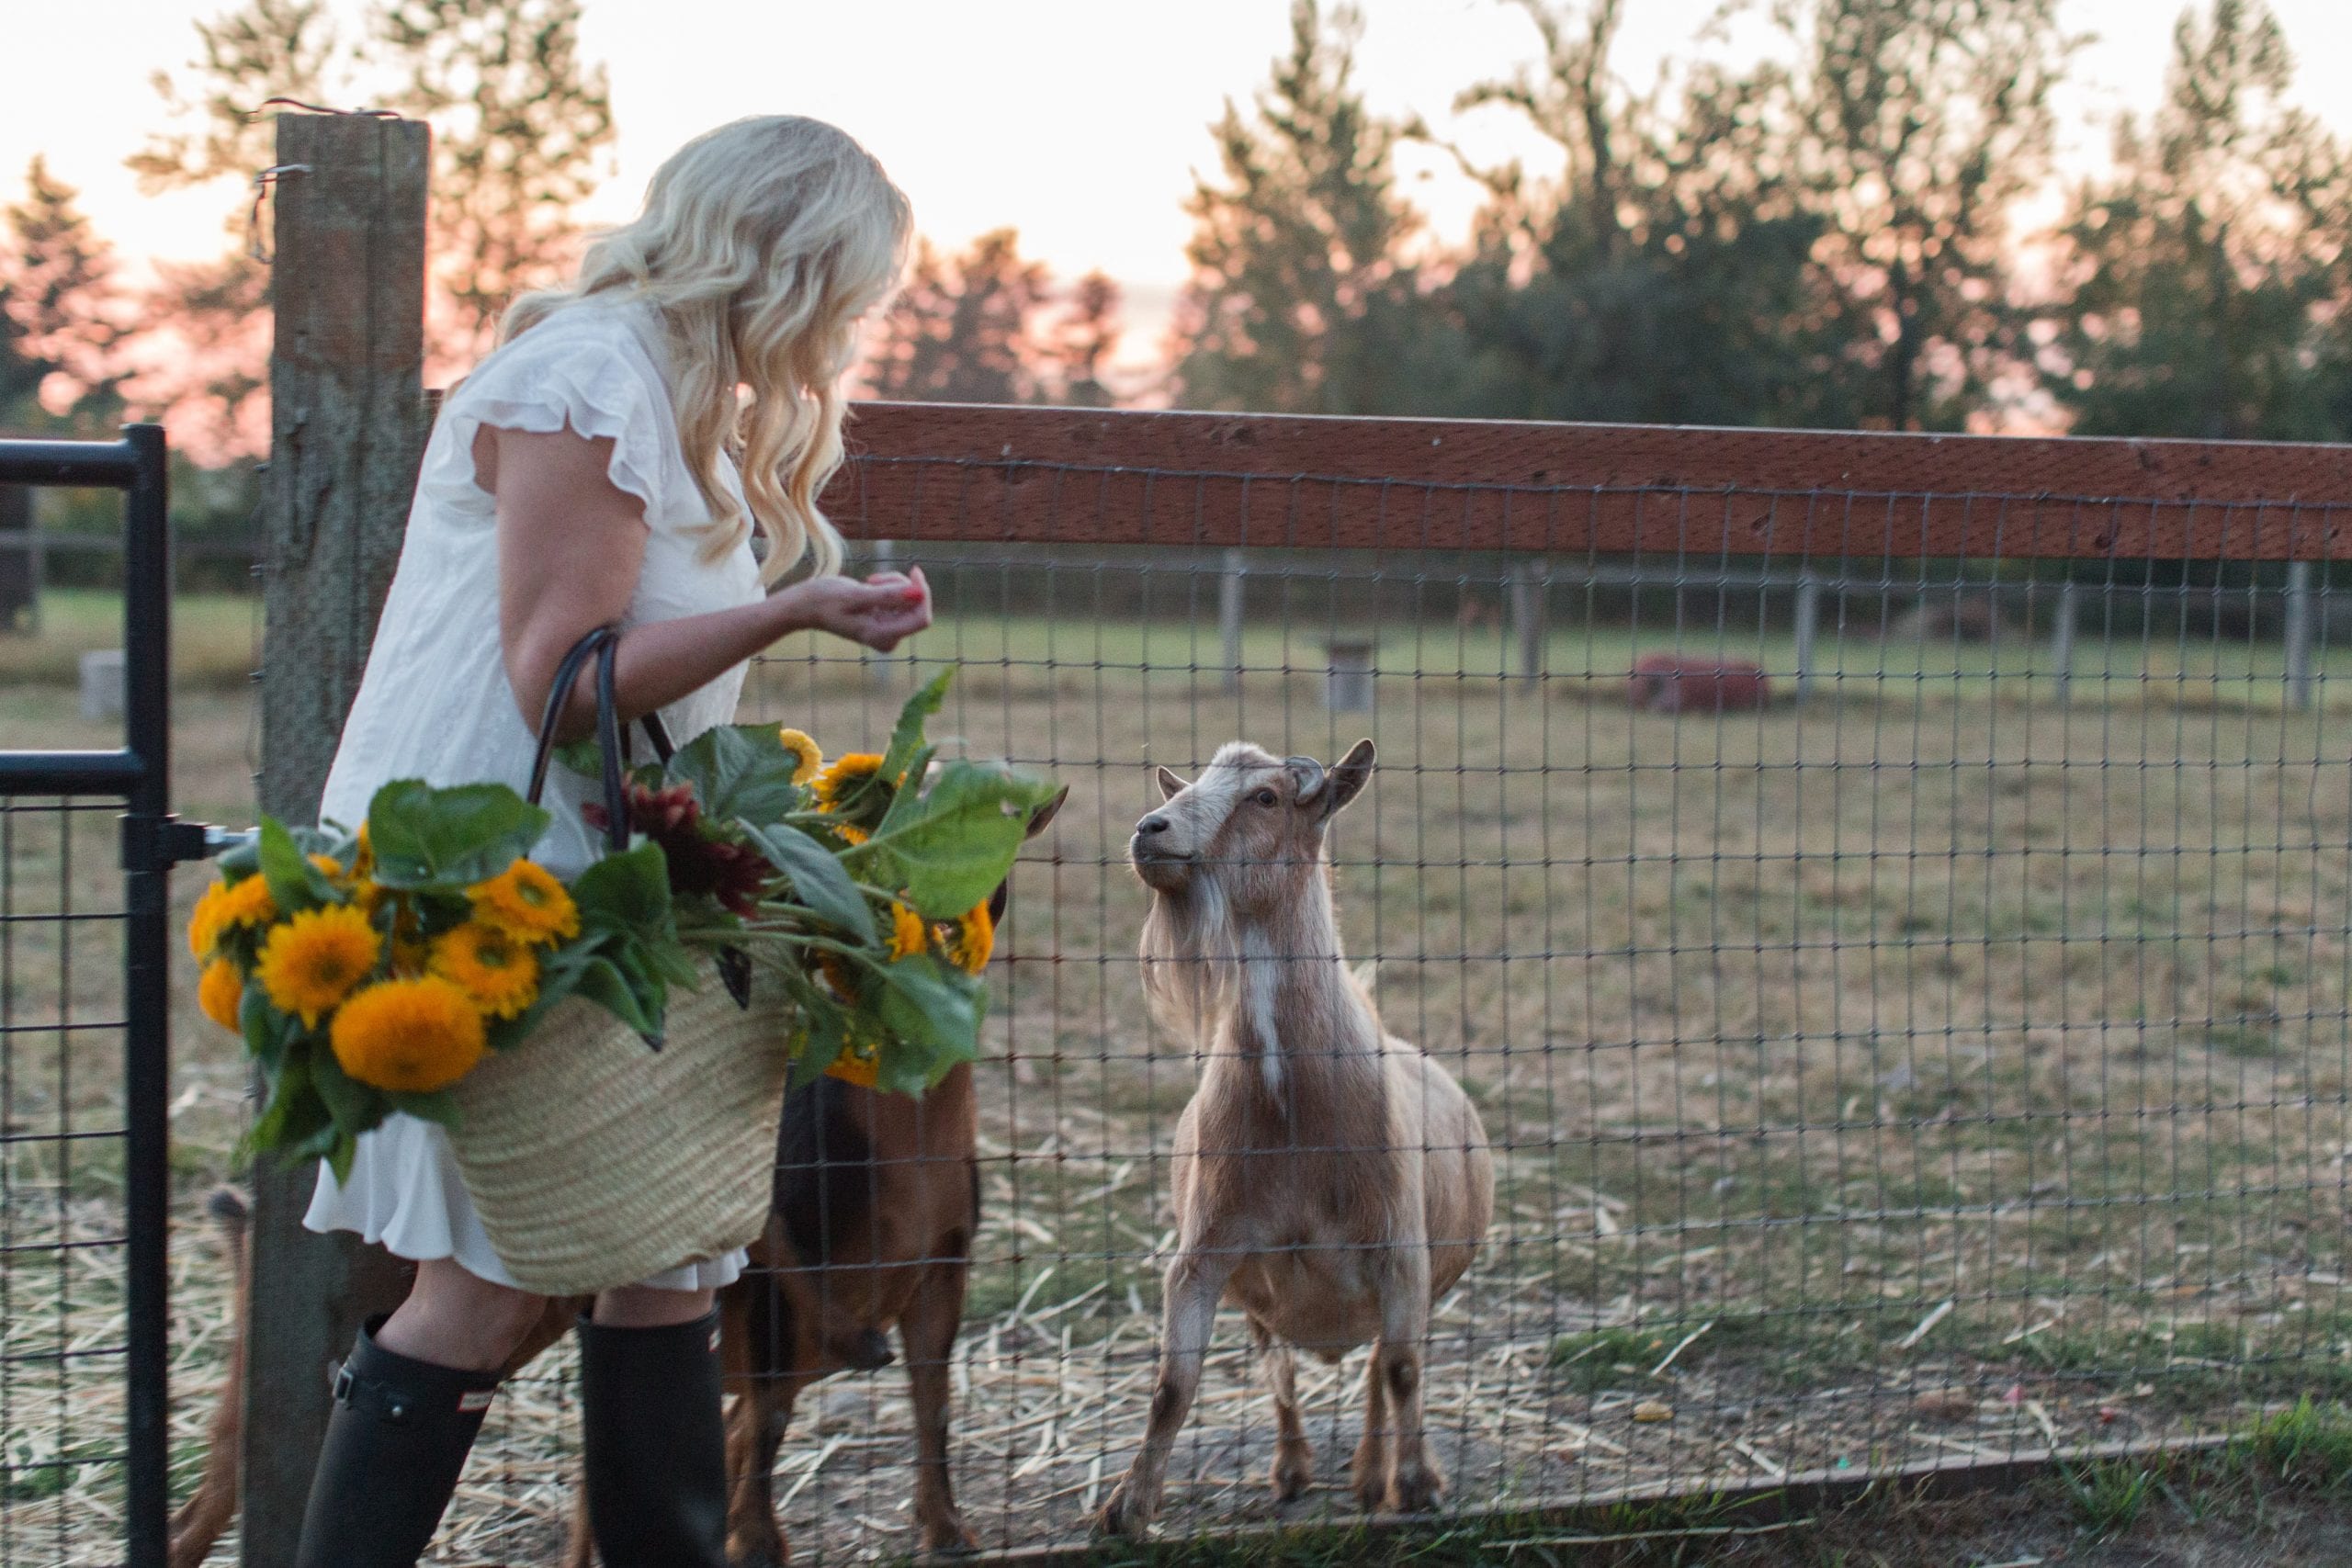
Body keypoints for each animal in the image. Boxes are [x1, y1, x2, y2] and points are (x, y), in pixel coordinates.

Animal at [1095, 742, 1496, 1541]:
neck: (1294, 1117)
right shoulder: (1206, 1249)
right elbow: (1171, 1383)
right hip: (1263, 1299)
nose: (1151, 829)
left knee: (1377, 1368)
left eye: (1266, 797)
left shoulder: (1400, 1251)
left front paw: (1418, 1486)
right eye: (1190, 784)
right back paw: (1291, 1471)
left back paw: (1371, 1477)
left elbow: (1404, 1368)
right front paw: (1127, 1506)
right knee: (1280, 1368)